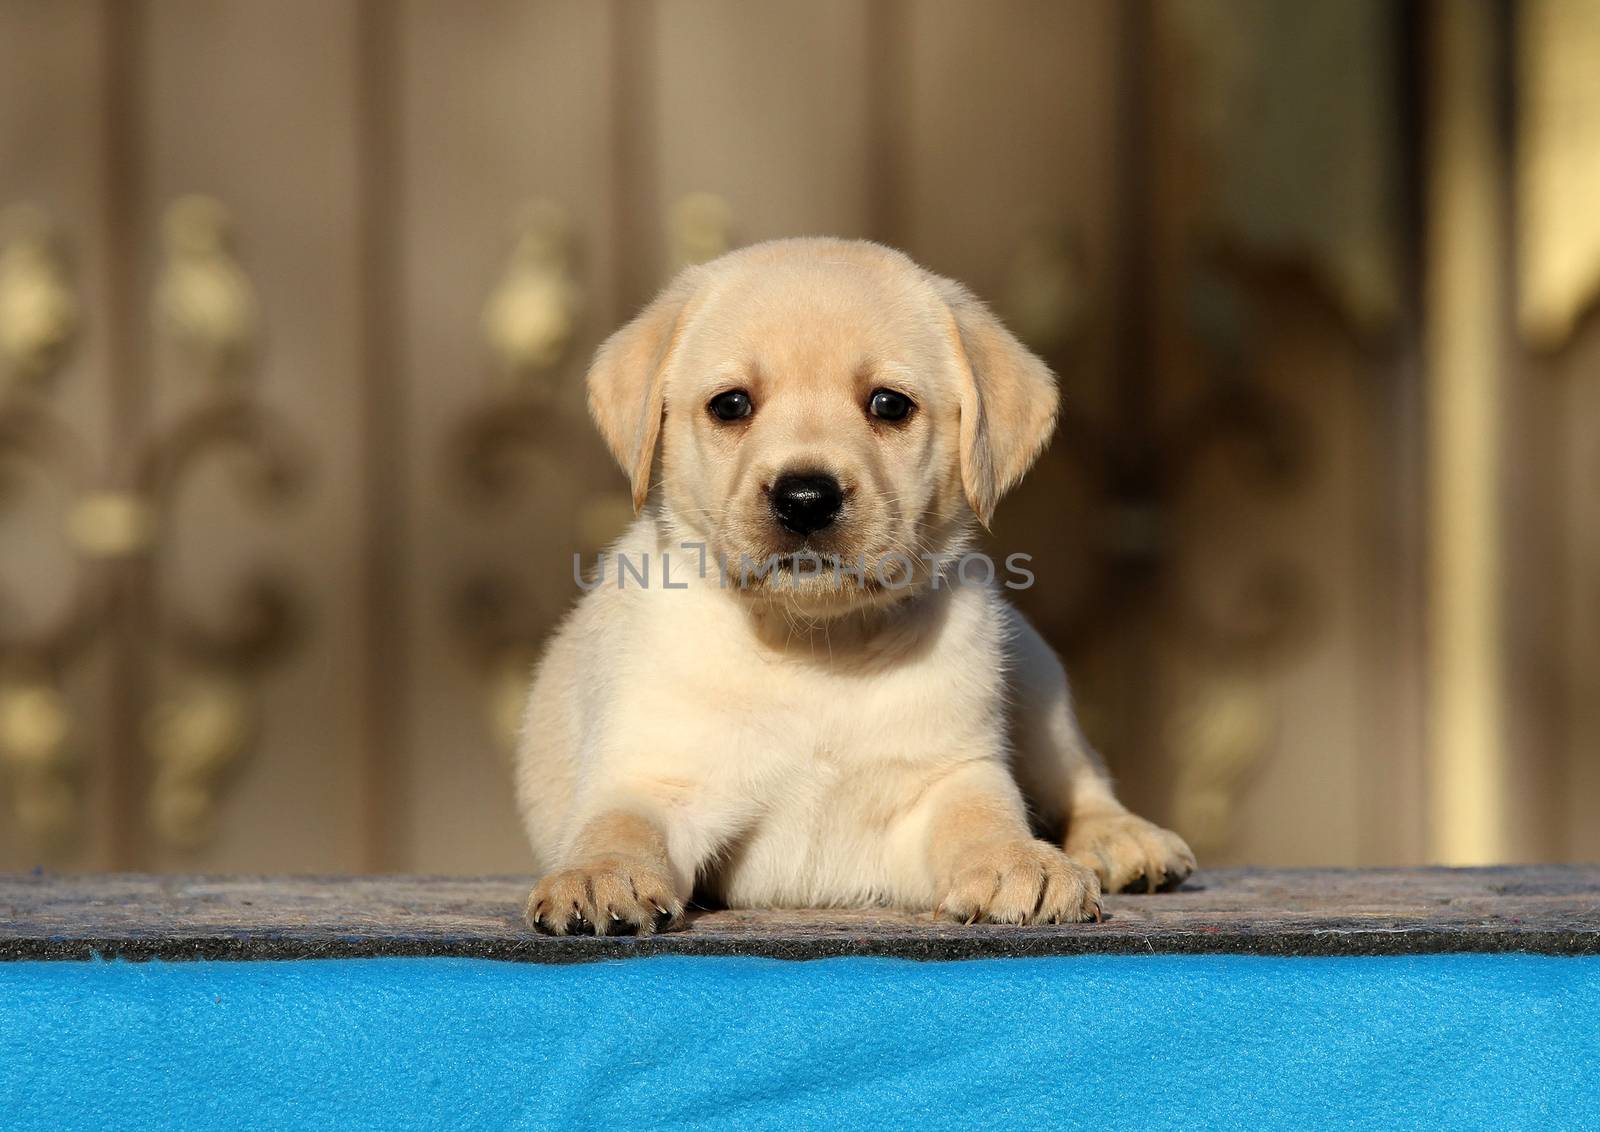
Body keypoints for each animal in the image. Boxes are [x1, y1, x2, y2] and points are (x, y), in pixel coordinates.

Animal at [512, 235, 1190, 933]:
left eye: (889, 405)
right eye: (731, 404)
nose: (806, 499)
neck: (815, 648)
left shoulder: (950, 775)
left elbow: (984, 816)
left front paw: (1017, 861)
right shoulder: (654, 777)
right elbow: (619, 826)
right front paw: (599, 875)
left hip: (1036, 678)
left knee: (1084, 779)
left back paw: (1124, 840)